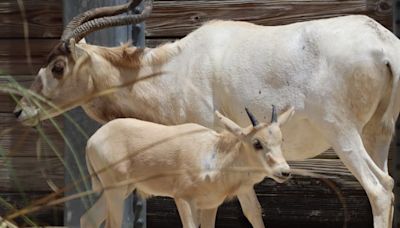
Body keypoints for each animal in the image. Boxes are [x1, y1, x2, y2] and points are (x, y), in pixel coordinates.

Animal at [81, 107, 294, 228]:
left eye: (281, 139)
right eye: (257, 142)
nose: (284, 171)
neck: (215, 156)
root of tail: (92, 140)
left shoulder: (211, 204)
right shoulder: (183, 198)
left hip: (123, 189)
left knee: (88, 218)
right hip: (115, 191)